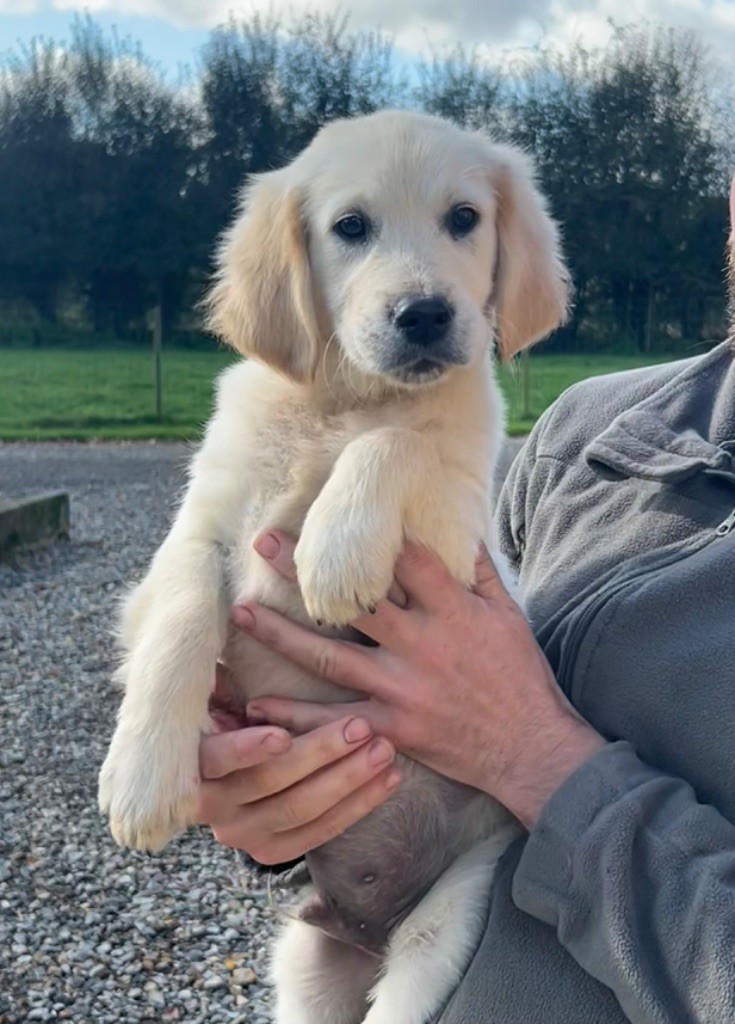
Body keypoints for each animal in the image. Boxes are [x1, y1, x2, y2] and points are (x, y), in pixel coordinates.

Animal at [97, 110, 569, 1024]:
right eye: (350, 227)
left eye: (464, 218)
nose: (424, 314)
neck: (345, 401)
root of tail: (366, 926)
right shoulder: (193, 538)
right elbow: (179, 620)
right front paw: (142, 779)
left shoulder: (456, 539)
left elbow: (397, 443)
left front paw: (335, 549)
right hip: (305, 967)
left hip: (444, 927)